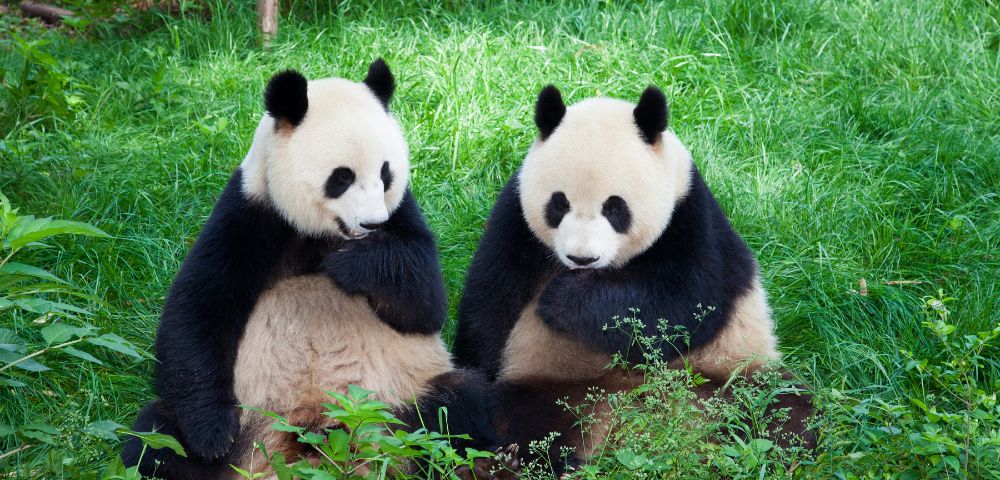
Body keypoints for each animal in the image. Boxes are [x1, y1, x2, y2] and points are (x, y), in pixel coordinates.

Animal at [122, 60, 501, 479]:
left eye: (385, 173)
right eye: (342, 176)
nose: (371, 224)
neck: (324, 235)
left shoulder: (402, 214)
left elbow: (425, 304)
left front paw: (353, 265)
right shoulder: (251, 213)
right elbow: (198, 310)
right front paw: (212, 435)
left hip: (400, 401)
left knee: (456, 407)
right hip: (248, 423)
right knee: (155, 438)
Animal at [453, 85, 814, 472]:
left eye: (615, 207)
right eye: (559, 203)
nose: (582, 258)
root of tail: (635, 418)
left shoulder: (690, 217)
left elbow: (681, 305)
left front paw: (562, 299)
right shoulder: (515, 220)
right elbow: (490, 305)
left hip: (728, 372)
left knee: (782, 407)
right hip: (554, 382)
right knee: (528, 418)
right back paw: (511, 461)